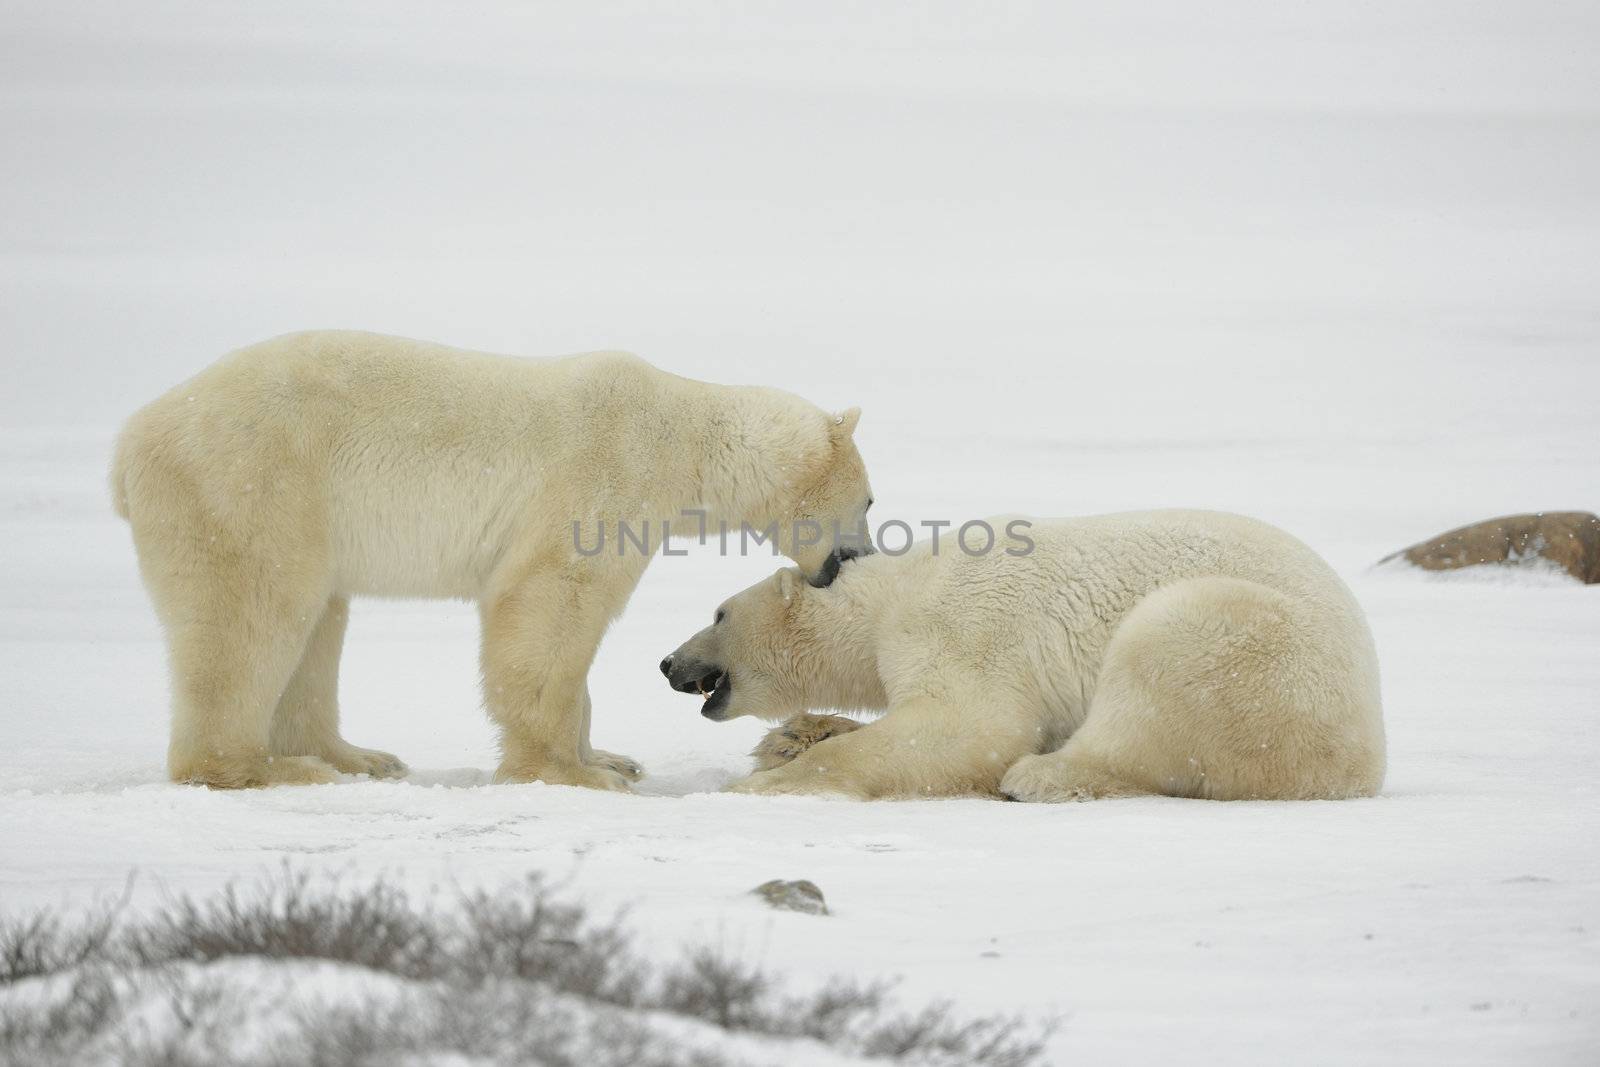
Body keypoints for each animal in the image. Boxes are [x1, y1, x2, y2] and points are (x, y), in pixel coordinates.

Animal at [114, 329, 876, 790]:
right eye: (869, 501)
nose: (853, 562)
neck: (678, 432)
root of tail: (129, 443)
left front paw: (611, 756)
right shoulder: (600, 477)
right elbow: (549, 604)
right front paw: (572, 771)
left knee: (317, 623)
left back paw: (357, 756)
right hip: (253, 484)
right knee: (250, 615)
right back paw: (268, 768)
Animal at [662, 511, 1388, 799]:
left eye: (718, 613)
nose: (668, 663)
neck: (890, 594)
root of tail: (1368, 761)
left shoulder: (957, 624)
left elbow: (967, 727)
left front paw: (756, 783)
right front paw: (791, 737)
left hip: (1258, 657)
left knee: (1158, 670)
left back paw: (1037, 775)